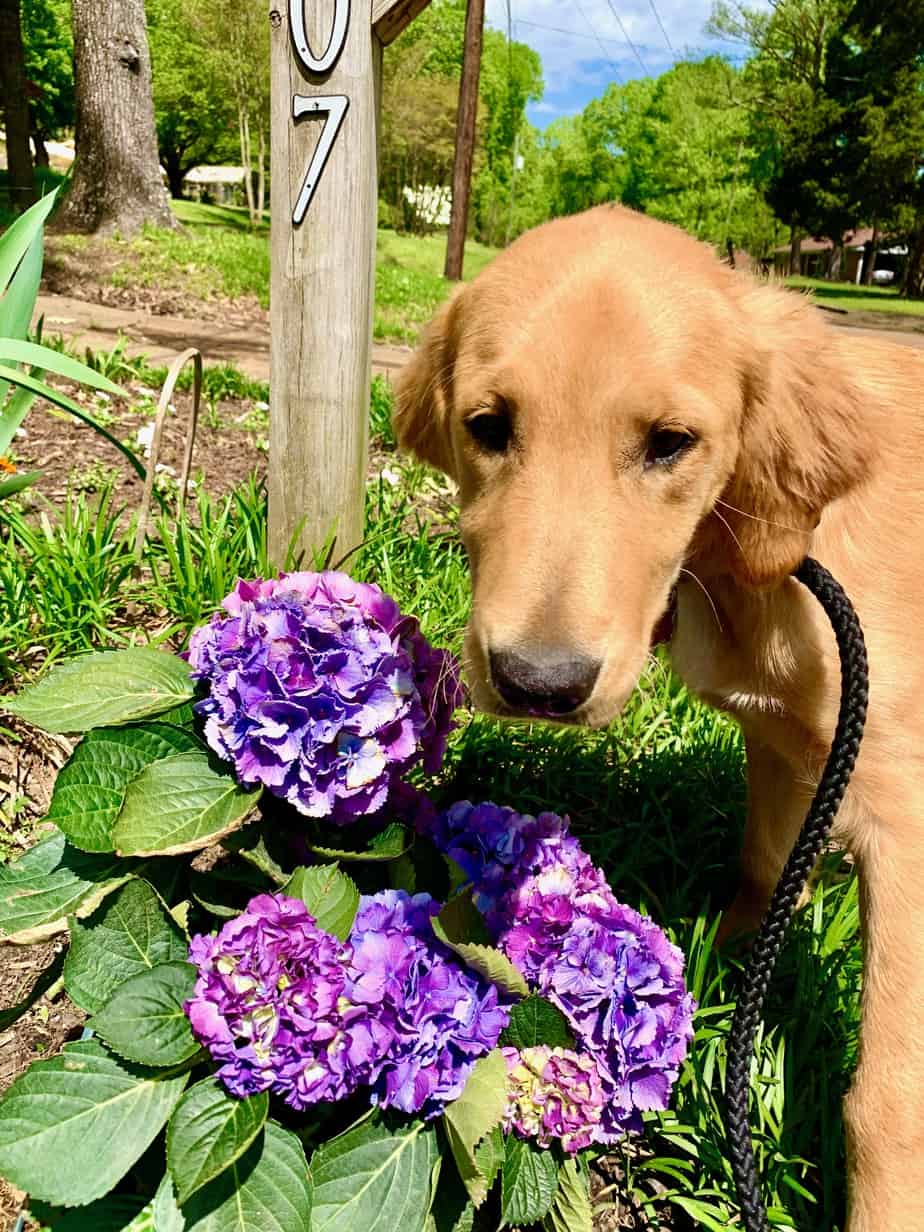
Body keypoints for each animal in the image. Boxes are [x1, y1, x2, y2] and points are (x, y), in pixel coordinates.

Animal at [394, 206, 924, 1227]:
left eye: (671, 443)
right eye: (488, 427)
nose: (539, 683)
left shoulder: (907, 818)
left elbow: (890, 1094)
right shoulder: (786, 743)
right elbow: (767, 869)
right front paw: (730, 966)